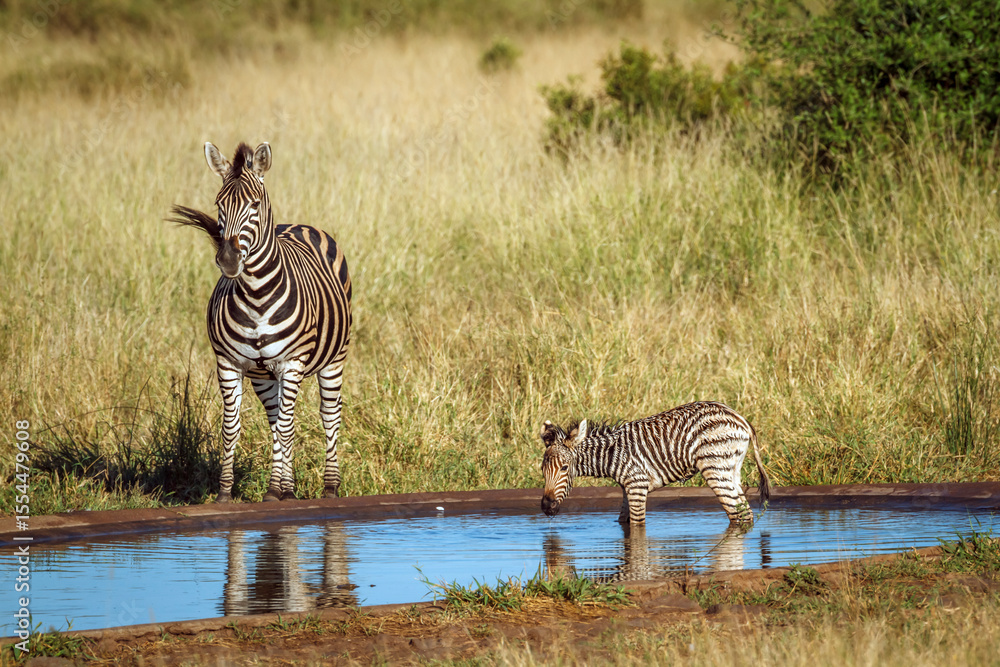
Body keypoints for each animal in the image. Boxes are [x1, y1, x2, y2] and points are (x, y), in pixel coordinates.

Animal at [171, 141, 352, 502]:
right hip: (263, 376)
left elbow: (289, 426)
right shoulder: (228, 363)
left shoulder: (292, 362)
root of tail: (299, 224)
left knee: (328, 416)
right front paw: (227, 493)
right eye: (218, 204)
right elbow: (233, 427)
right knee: (277, 420)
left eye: (254, 204)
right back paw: (287, 488)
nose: (228, 260)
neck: (256, 296)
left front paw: (275, 489)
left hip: (334, 358)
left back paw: (329, 486)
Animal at [540, 401, 771, 526]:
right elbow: (624, 524)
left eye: (564, 468)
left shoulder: (637, 486)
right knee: (745, 512)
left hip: (715, 468)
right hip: (731, 470)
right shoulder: (628, 488)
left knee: (738, 514)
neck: (613, 454)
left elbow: (637, 527)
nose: (546, 508)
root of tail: (740, 418)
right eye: (542, 471)